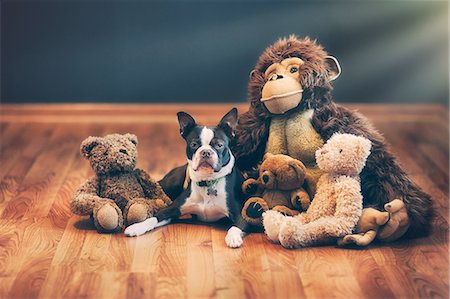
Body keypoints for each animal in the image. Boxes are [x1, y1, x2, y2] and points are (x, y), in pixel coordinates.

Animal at [124, 108, 250, 248]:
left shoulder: (242, 215)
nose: (206, 152)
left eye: (219, 145)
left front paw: (233, 238)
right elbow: (153, 218)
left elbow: (235, 227)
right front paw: (137, 227)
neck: (207, 182)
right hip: (170, 183)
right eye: (194, 144)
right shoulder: (171, 209)